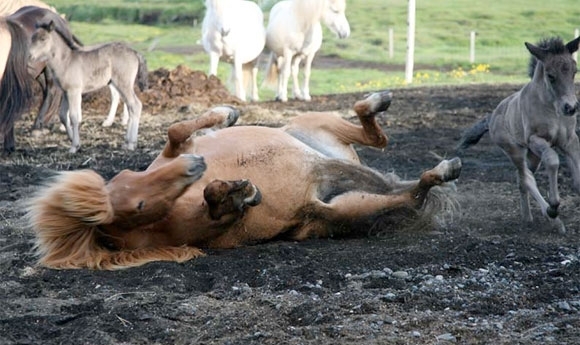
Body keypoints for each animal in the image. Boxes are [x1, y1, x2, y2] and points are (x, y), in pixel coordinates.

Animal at [27, 90, 462, 268]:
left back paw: (378, 101)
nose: (195, 166)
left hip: (311, 128)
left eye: (131, 175)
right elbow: (217, 204)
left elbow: (177, 129)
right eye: (140, 206)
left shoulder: (173, 152)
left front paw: (225, 115)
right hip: (341, 209)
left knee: (373, 133)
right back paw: (439, 170)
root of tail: (320, 167)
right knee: (408, 193)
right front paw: (236, 192)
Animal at [458, 35, 580, 232]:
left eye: (574, 72)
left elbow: (577, 175)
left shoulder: (569, 140)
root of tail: (492, 116)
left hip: (532, 156)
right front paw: (554, 205)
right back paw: (551, 216)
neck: (552, 109)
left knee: (522, 178)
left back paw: (527, 217)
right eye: (551, 76)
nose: (570, 107)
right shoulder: (535, 140)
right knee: (527, 178)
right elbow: (553, 161)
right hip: (516, 150)